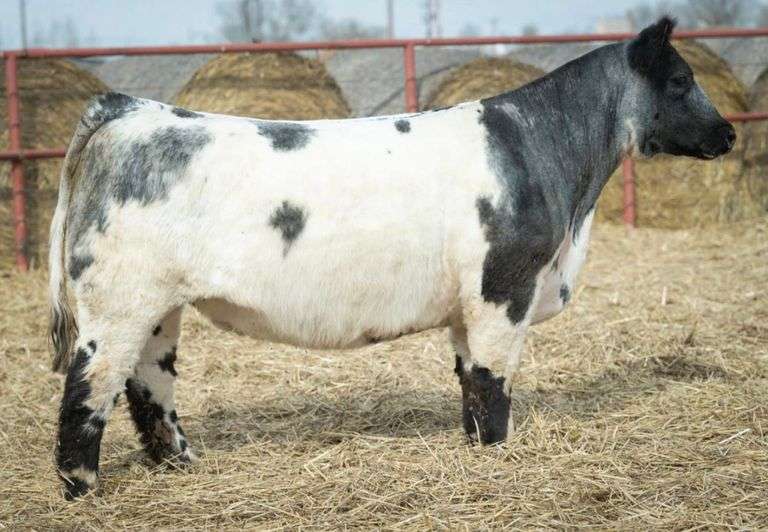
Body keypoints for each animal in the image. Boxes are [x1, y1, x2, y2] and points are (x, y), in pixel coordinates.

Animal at [48, 17, 735, 499]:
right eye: (680, 80)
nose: (729, 132)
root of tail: (132, 109)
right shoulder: (504, 286)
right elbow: (495, 381)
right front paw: (499, 455)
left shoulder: (466, 304)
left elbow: (469, 380)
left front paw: (475, 448)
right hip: (118, 303)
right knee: (87, 390)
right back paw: (84, 491)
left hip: (158, 307)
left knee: (148, 383)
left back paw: (183, 464)